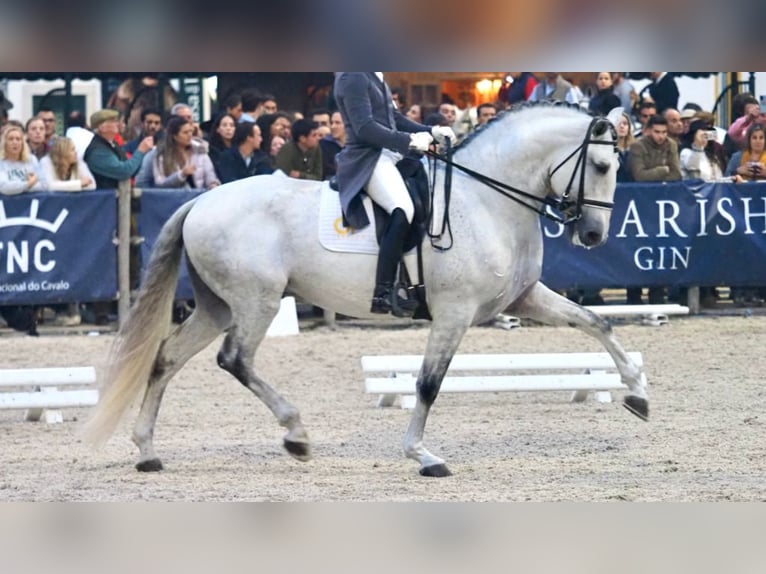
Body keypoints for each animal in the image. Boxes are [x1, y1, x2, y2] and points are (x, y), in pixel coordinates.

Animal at [84, 102, 648, 476]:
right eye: (601, 166)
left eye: (616, 168)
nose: (593, 236)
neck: (487, 199)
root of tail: (201, 201)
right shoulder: (455, 312)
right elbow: (428, 383)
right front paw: (422, 455)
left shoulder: (522, 297)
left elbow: (596, 322)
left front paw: (637, 394)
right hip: (256, 301)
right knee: (235, 359)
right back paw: (296, 434)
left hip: (218, 306)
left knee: (166, 358)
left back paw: (148, 451)